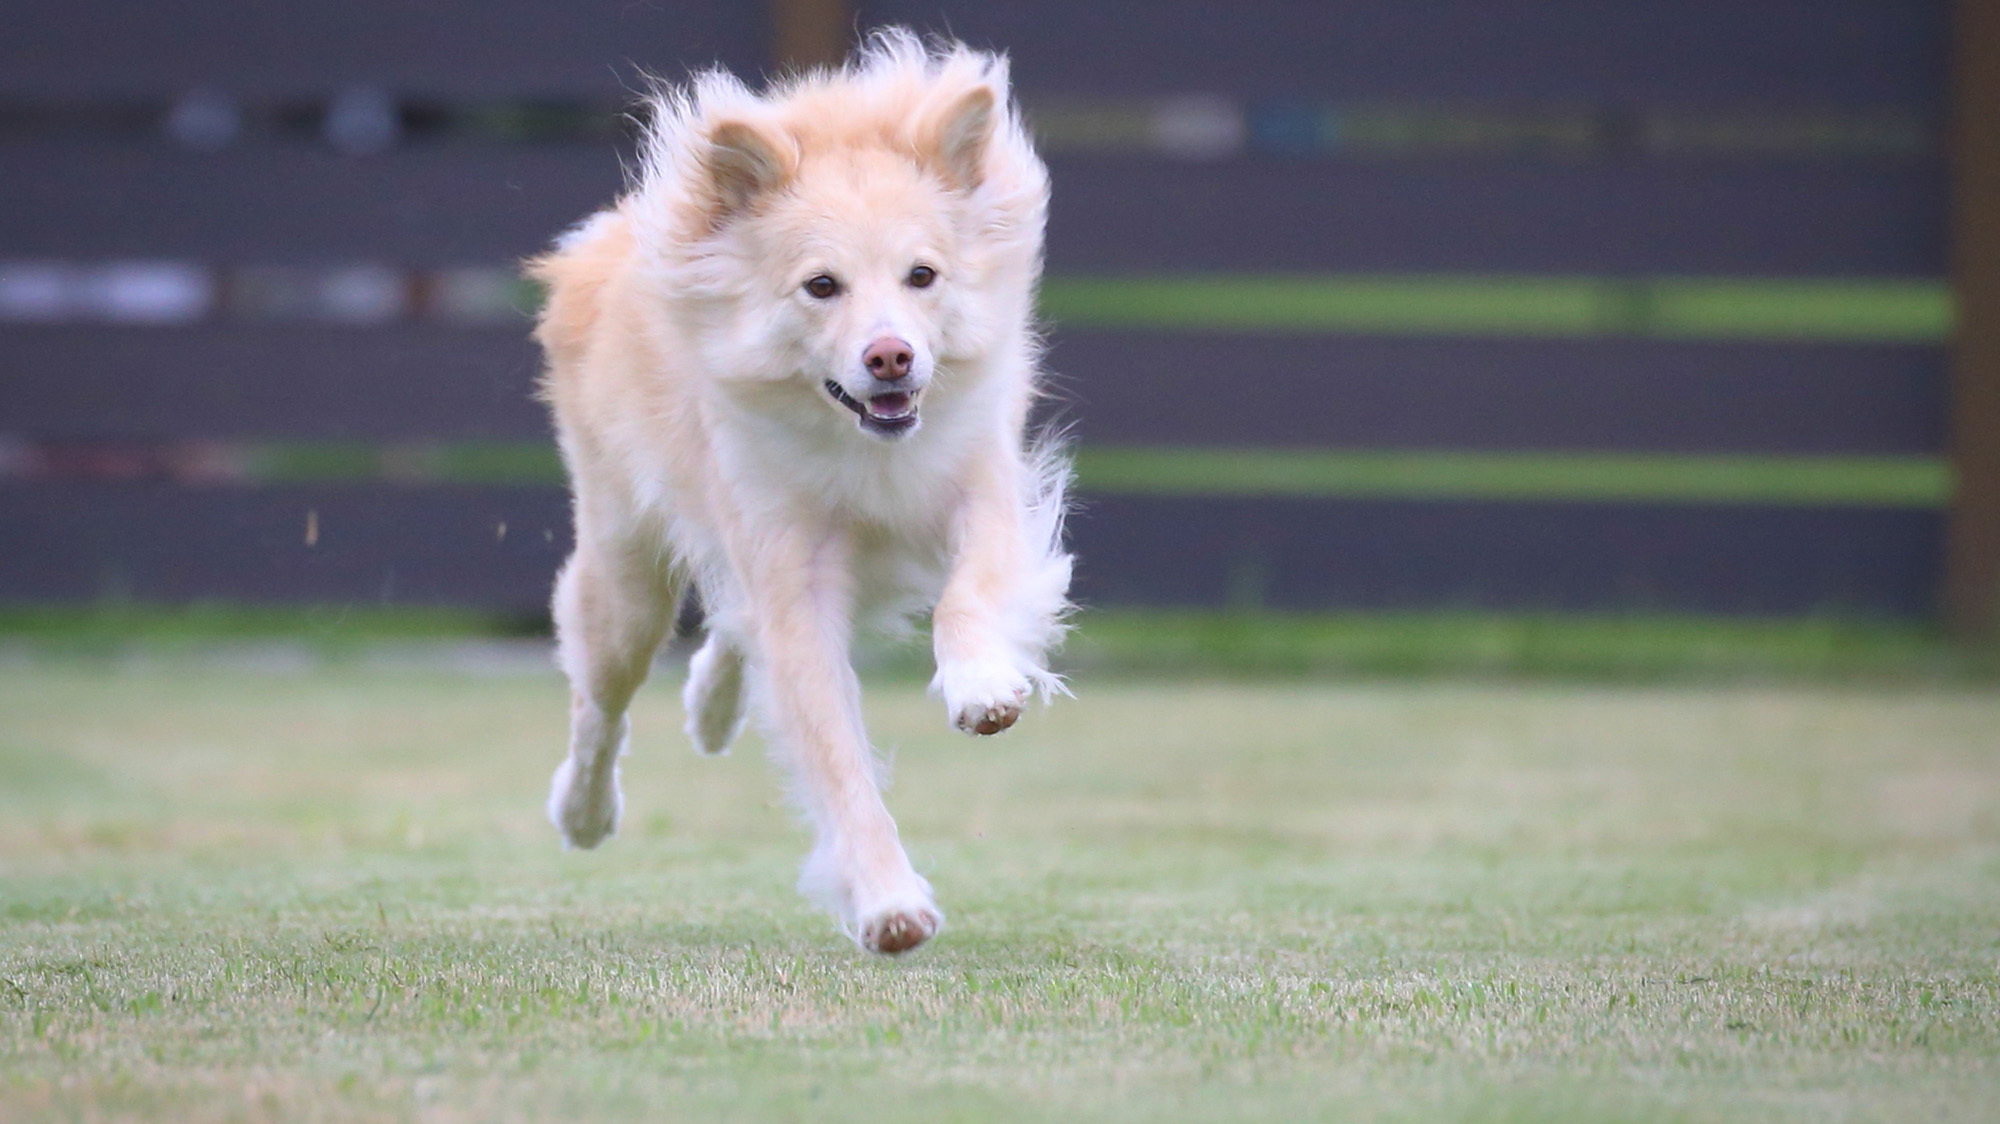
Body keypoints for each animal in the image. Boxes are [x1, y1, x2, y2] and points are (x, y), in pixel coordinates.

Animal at [524, 30, 1072, 948]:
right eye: (822, 286)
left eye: (923, 276)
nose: (891, 355)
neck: (862, 446)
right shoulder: (791, 571)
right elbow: (833, 750)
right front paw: (887, 901)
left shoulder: (983, 490)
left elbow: (970, 595)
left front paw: (980, 686)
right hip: (625, 573)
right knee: (602, 701)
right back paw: (583, 810)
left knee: (727, 634)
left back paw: (710, 707)